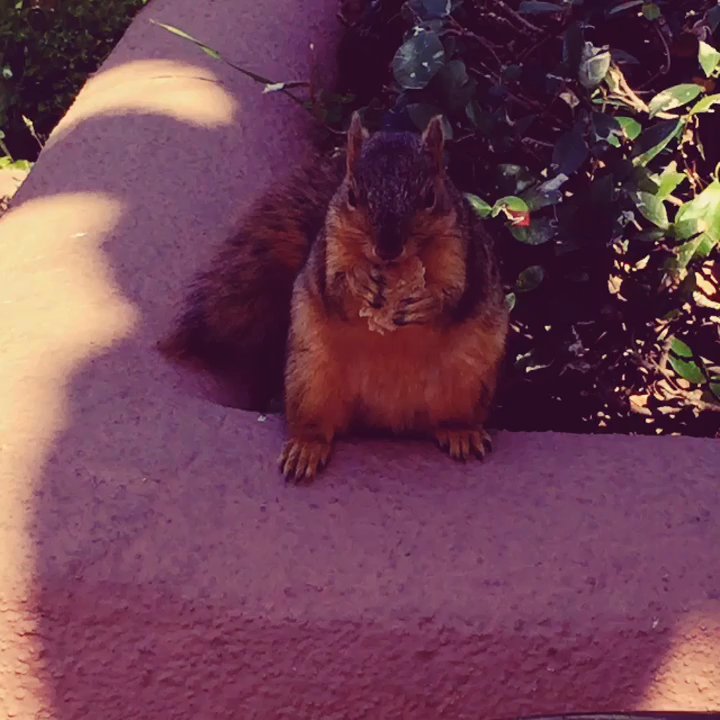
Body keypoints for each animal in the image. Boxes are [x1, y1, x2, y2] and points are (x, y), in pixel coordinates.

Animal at [159, 113, 509, 482]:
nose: (387, 248)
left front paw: (426, 302)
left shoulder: (462, 250)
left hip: (468, 380)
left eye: (429, 196)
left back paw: (462, 433)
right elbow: (334, 289)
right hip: (310, 376)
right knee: (318, 425)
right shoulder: (331, 246)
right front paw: (359, 283)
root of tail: (389, 419)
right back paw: (306, 447)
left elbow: (456, 296)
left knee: (448, 418)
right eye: (352, 195)